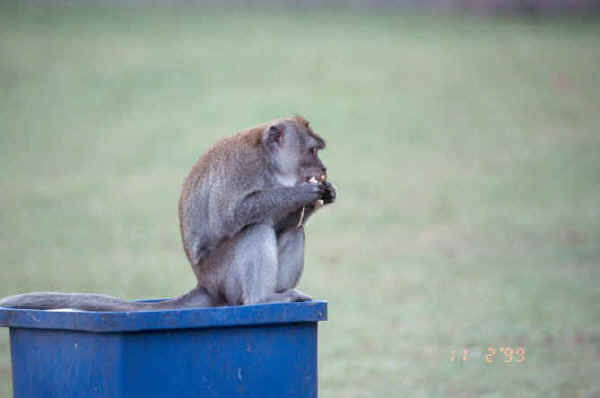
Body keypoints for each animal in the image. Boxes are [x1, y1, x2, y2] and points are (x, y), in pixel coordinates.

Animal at [0, 115, 338, 310]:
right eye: (312, 150)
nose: (322, 168)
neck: (269, 163)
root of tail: (205, 284)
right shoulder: (242, 169)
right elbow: (233, 215)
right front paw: (304, 193)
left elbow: (286, 221)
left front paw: (322, 195)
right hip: (223, 276)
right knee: (254, 229)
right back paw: (262, 299)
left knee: (292, 231)